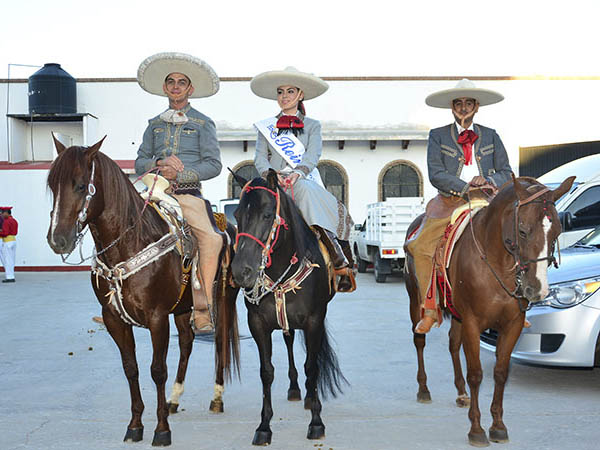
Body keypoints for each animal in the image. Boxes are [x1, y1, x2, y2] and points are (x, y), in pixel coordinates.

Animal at [46, 139, 239, 448]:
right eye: (53, 185)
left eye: (80, 185)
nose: (58, 239)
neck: (129, 243)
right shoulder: (113, 318)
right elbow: (131, 368)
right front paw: (135, 425)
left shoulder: (157, 318)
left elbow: (157, 370)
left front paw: (161, 430)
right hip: (183, 308)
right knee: (187, 343)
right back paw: (174, 399)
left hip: (223, 300)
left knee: (220, 342)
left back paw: (217, 397)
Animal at [406, 176, 576, 446]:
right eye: (523, 230)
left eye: (557, 231)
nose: (536, 289)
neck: (498, 264)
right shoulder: (473, 322)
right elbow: (476, 373)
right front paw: (476, 429)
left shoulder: (512, 324)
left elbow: (500, 373)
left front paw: (498, 426)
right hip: (416, 300)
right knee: (419, 341)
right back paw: (423, 389)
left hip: (457, 315)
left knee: (453, 344)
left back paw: (461, 392)